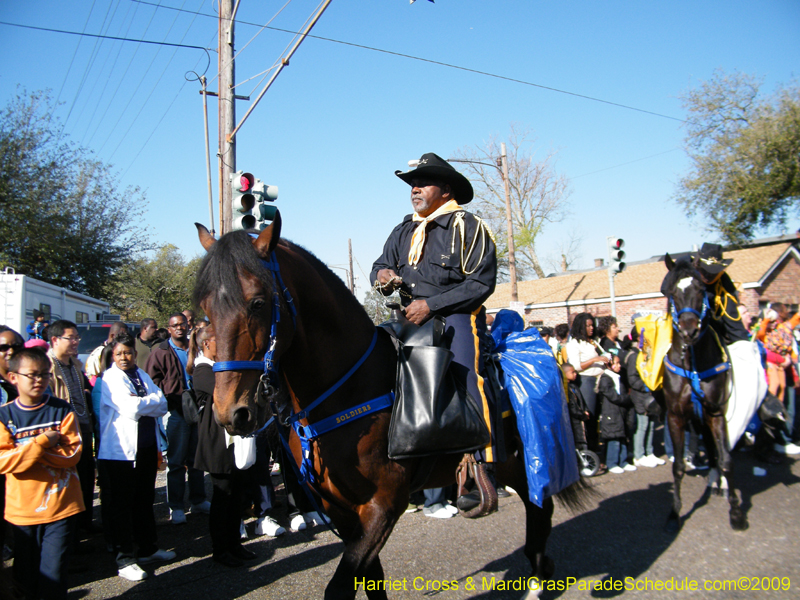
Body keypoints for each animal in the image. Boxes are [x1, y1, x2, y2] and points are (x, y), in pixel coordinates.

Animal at [191, 213, 584, 596]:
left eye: (257, 302)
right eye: (207, 308)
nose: (232, 413)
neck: (349, 389)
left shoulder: (384, 505)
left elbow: (341, 586)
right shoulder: (343, 510)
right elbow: (369, 579)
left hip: (529, 458)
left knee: (541, 510)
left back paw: (537, 582)